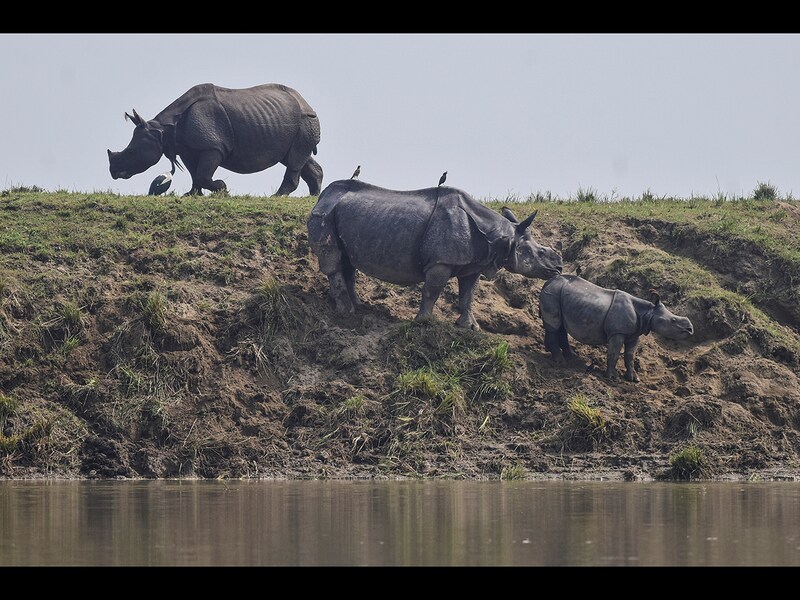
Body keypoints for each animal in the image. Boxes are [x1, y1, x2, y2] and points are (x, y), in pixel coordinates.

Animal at [536, 274, 692, 382]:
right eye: (673, 320)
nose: (690, 329)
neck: (647, 312)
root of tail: (547, 282)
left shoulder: (634, 334)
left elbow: (630, 355)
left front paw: (634, 379)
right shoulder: (617, 332)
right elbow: (614, 353)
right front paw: (612, 378)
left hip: (558, 294)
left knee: (561, 327)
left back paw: (571, 356)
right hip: (553, 293)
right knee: (554, 326)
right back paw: (560, 361)